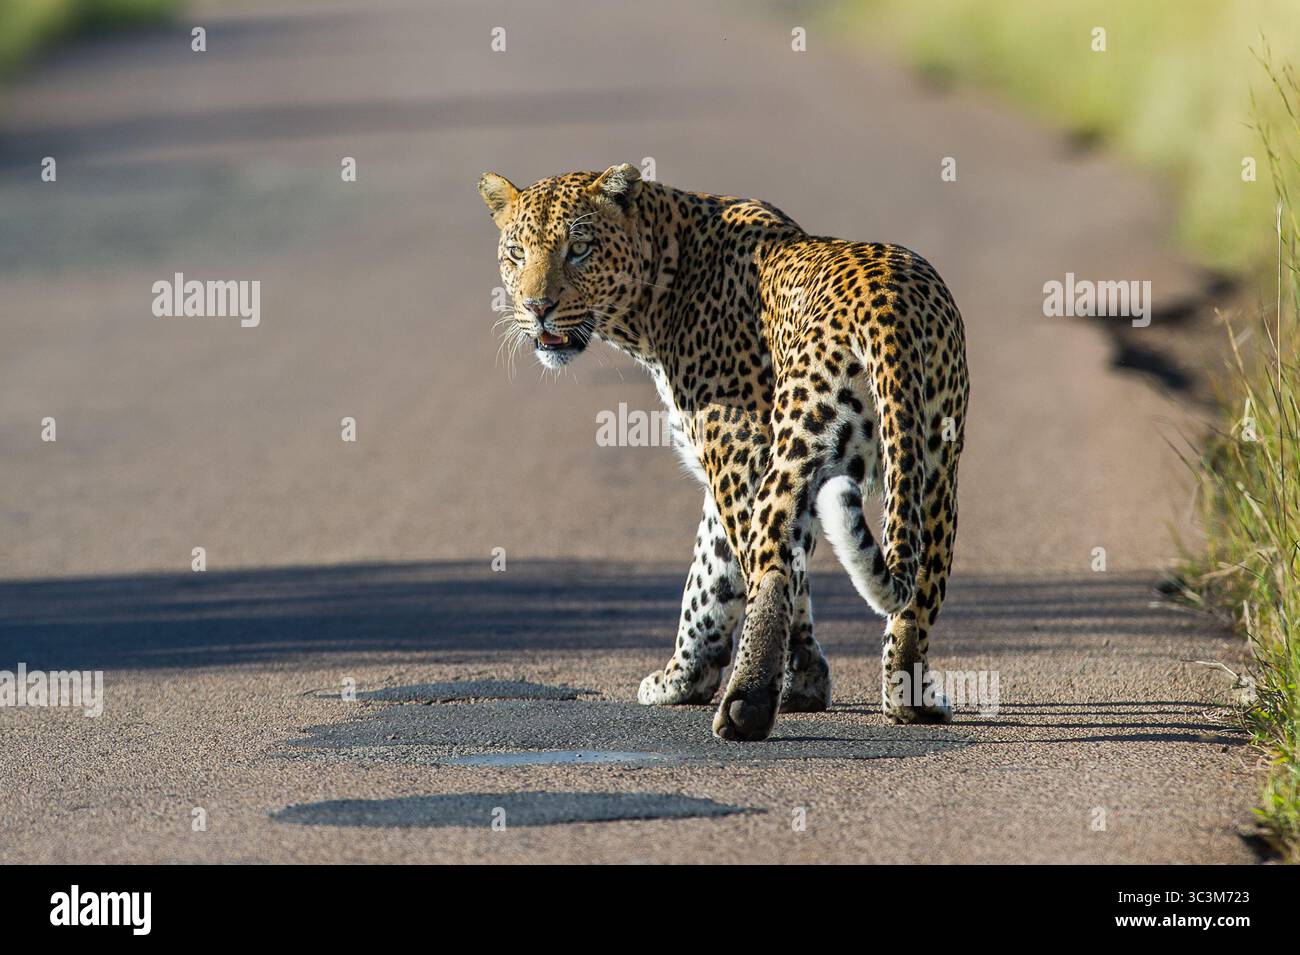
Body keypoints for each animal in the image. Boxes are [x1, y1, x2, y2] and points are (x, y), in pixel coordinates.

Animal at [477, 163, 968, 742]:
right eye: (515, 253)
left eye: (579, 249)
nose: (537, 308)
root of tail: (887, 304)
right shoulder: (726, 469)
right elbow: (709, 578)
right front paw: (688, 677)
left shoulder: (737, 453)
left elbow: (743, 575)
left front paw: (784, 680)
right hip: (935, 465)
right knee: (923, 579)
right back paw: (909, 698)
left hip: (798, 444)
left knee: (774, 564)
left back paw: (746, 705)